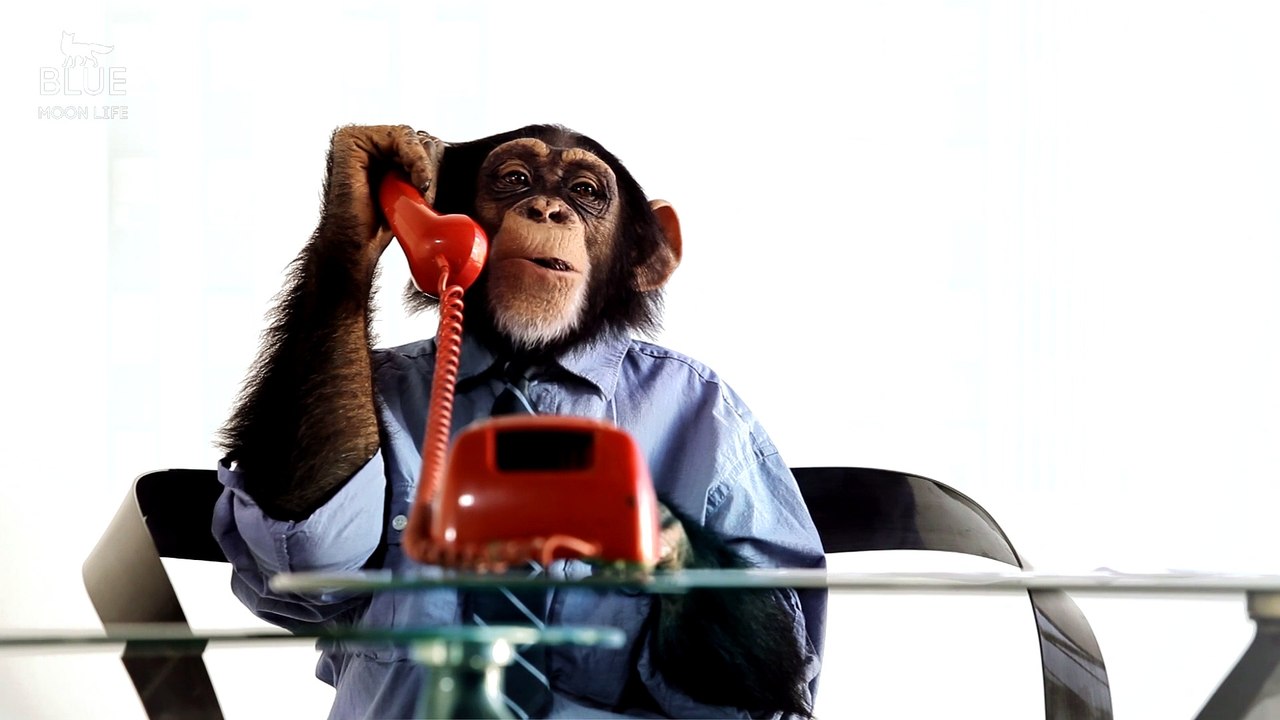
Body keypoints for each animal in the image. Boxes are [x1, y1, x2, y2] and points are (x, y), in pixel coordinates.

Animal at [214, 123, 825, 719]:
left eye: (584, 190)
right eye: (515, 178)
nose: (547, 210)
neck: (529, 357)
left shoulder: (735, 425)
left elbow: (781, 635)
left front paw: (646, 520)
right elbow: (307, 543)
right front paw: (372, 168)